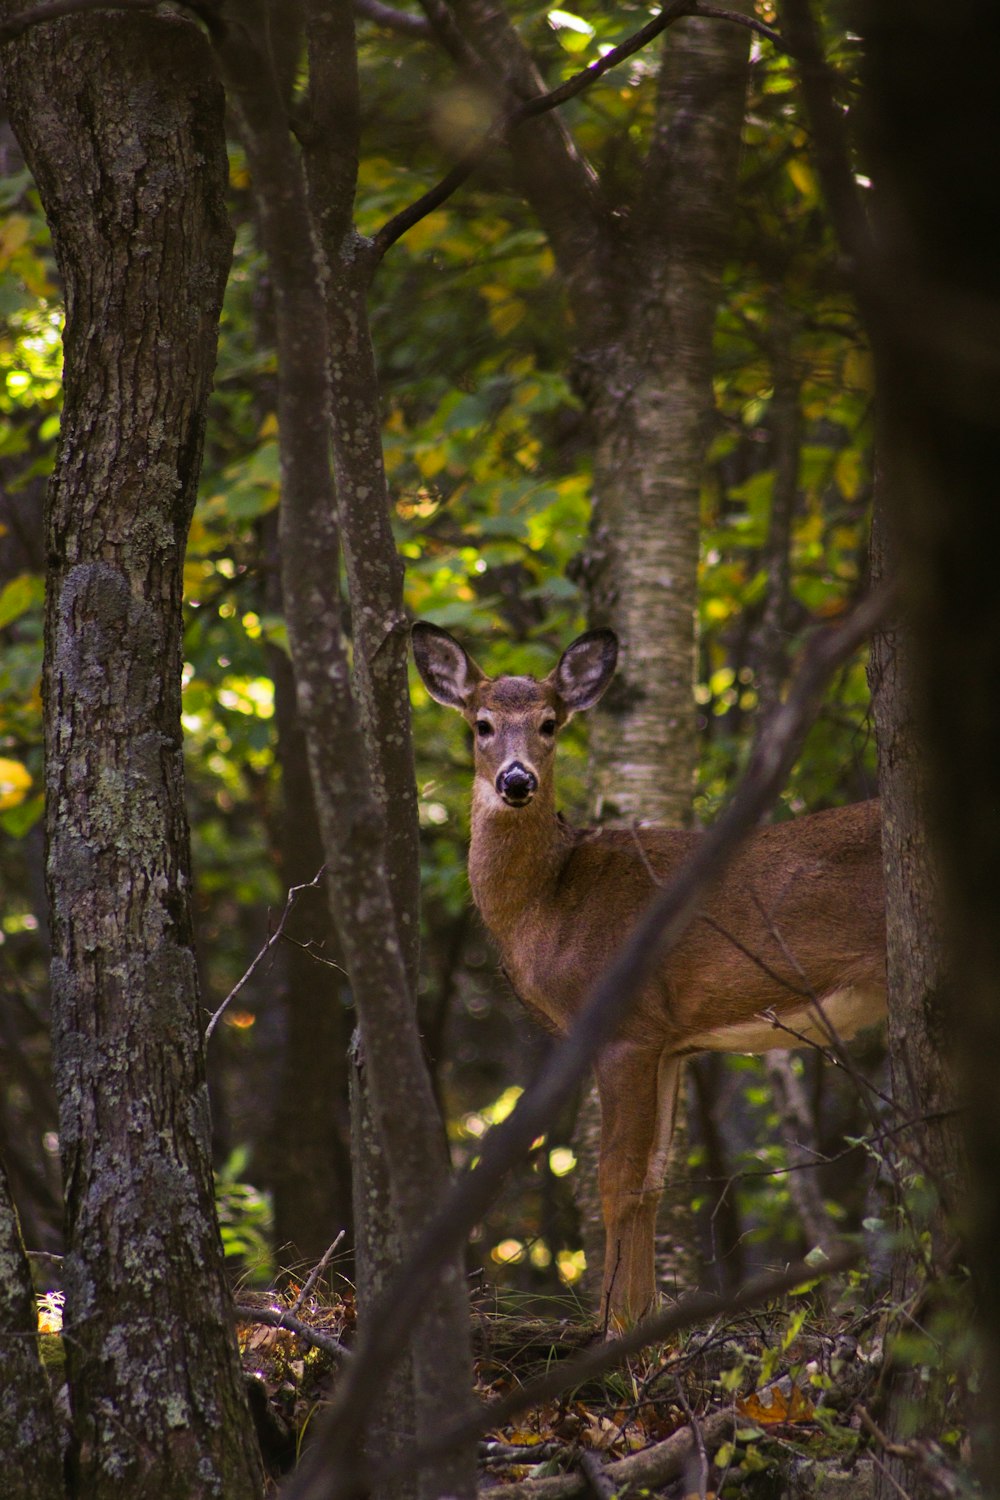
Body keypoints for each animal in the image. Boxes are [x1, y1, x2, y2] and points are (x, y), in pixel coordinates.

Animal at [410, 621, 887, 1326]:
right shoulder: (670, 1041)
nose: (517, 781)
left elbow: (618, 1178)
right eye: (482, 724)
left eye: (550, 723)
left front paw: (615, 1325)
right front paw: (648, 1318)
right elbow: (654, 1181)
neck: (550, 903)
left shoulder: (626, 1027)